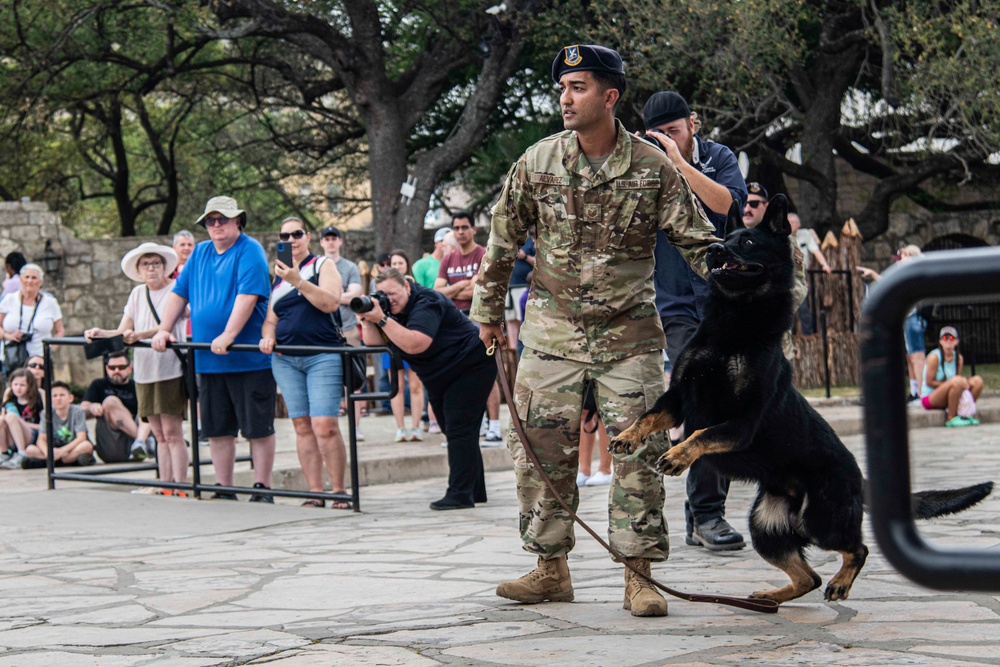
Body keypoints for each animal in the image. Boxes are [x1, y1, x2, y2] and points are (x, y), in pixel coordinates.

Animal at [608, 197, 992, 604]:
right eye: (725, 238)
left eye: (746, 242)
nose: (712, 250)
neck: (733, 321)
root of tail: (858, 477)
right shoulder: (679, 397)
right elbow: (649, 416)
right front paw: (629, 436)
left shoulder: (741, 423)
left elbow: (702, 434)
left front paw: (678, 455)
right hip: (766, 526)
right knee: (809, 577)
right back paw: (772, 598)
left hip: (820, 520)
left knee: (857, 549)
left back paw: (838, 583)